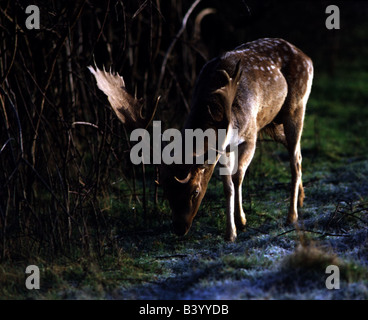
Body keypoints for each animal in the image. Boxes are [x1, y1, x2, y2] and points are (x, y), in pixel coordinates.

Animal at [88, 37, 314, 241]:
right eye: (166, 191)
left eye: (195, 192)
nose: (179, 228)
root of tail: (307, 57)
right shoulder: (224, 147)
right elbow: (228, 186)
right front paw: (235, 228)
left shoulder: (250, 133)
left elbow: (237, 177)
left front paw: (237, 225)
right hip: (273, 124)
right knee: (299, 154)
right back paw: (302, 199)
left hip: (296, 107)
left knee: (294, 160)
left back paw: (291, 216)